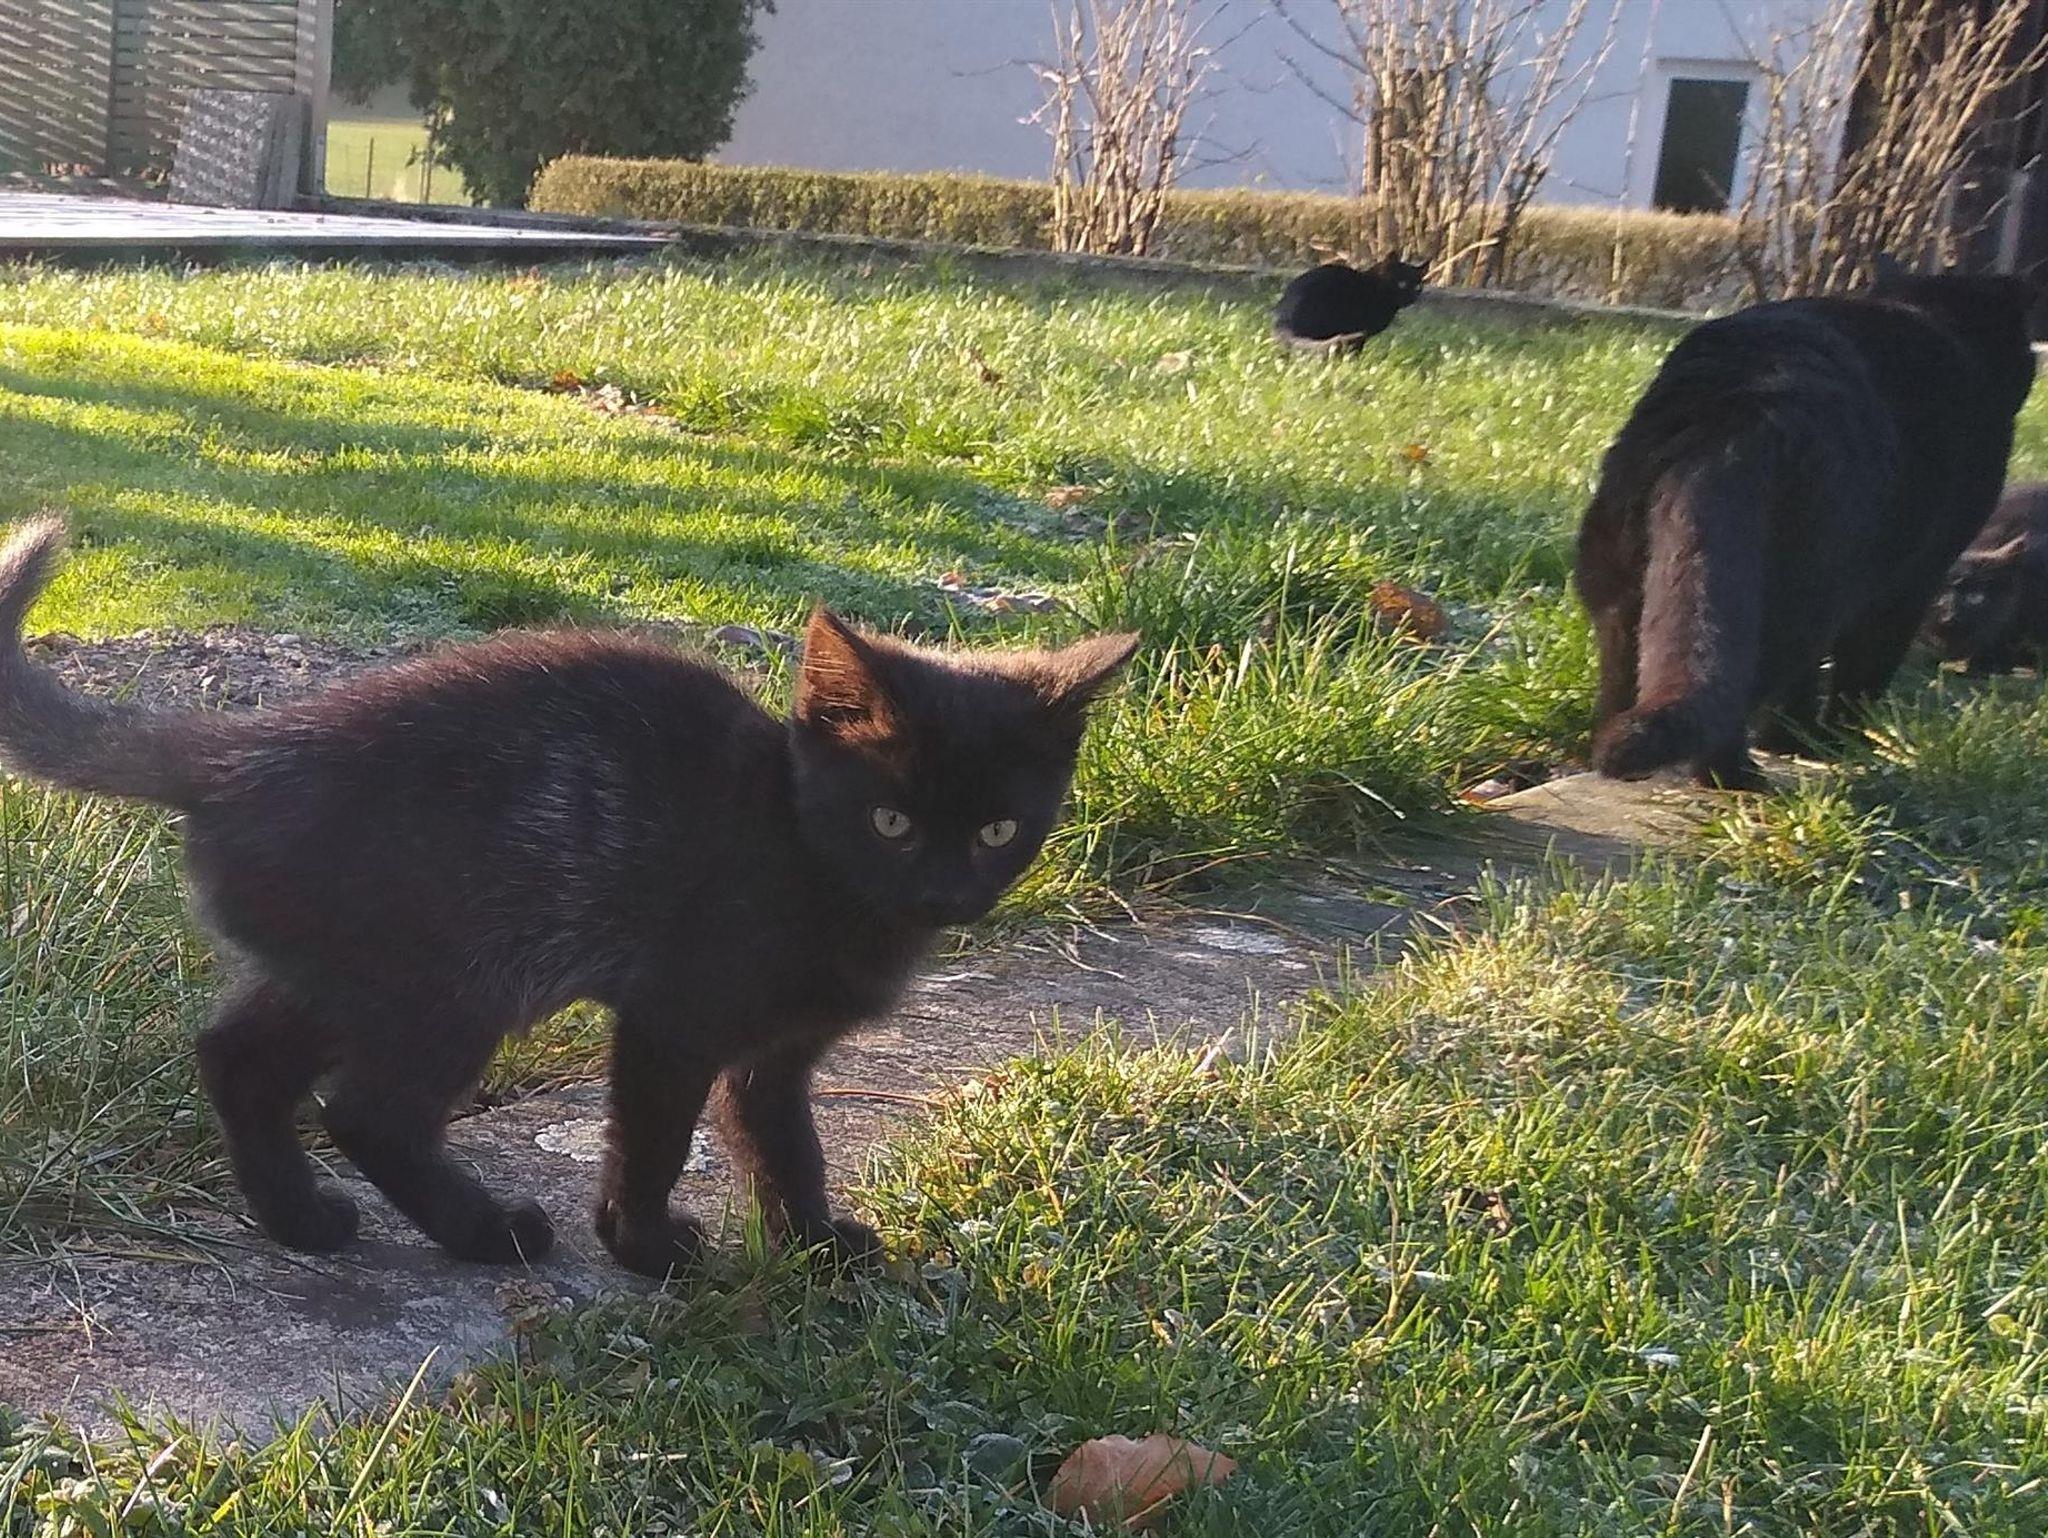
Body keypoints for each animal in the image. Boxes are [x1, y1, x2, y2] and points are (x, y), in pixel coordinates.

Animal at [0, 517, 1137, 1276]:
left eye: (999, 830)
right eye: (890, 820)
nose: (946, 891)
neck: (805, 851)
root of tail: (237, 751)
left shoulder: (775, 1050)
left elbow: (784, 1141)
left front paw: (814, 1241)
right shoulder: (674, 1015)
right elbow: (655, 1134)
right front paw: (643, 1246)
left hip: (342, 968)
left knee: (238, 1057)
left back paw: (302, 1218)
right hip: (454, 979)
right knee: (368, 1109)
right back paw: (485, 1231)